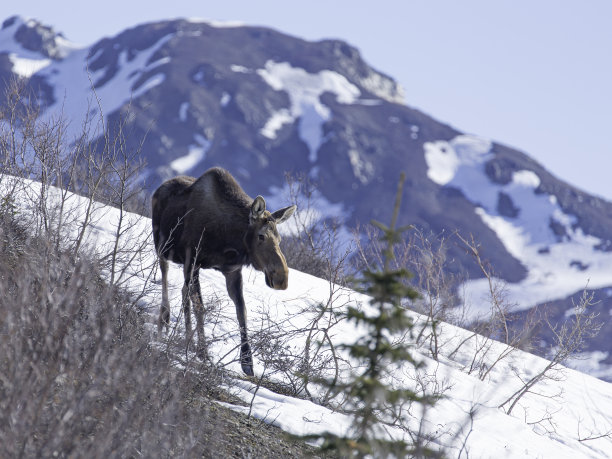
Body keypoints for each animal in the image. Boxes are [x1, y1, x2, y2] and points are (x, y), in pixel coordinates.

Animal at [152, 167, 296, 376]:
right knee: (165, 274)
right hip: (162, 246)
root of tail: (160, 187)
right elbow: (200, 306)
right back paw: (165, 319)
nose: (281, 278)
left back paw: (187, 337)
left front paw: (247, 361)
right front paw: (203, 352)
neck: (230, 240)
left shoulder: (232, 271)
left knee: (183, 291)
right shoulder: (192, 260)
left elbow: (241, 311)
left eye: (279, 239)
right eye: (261, 236)